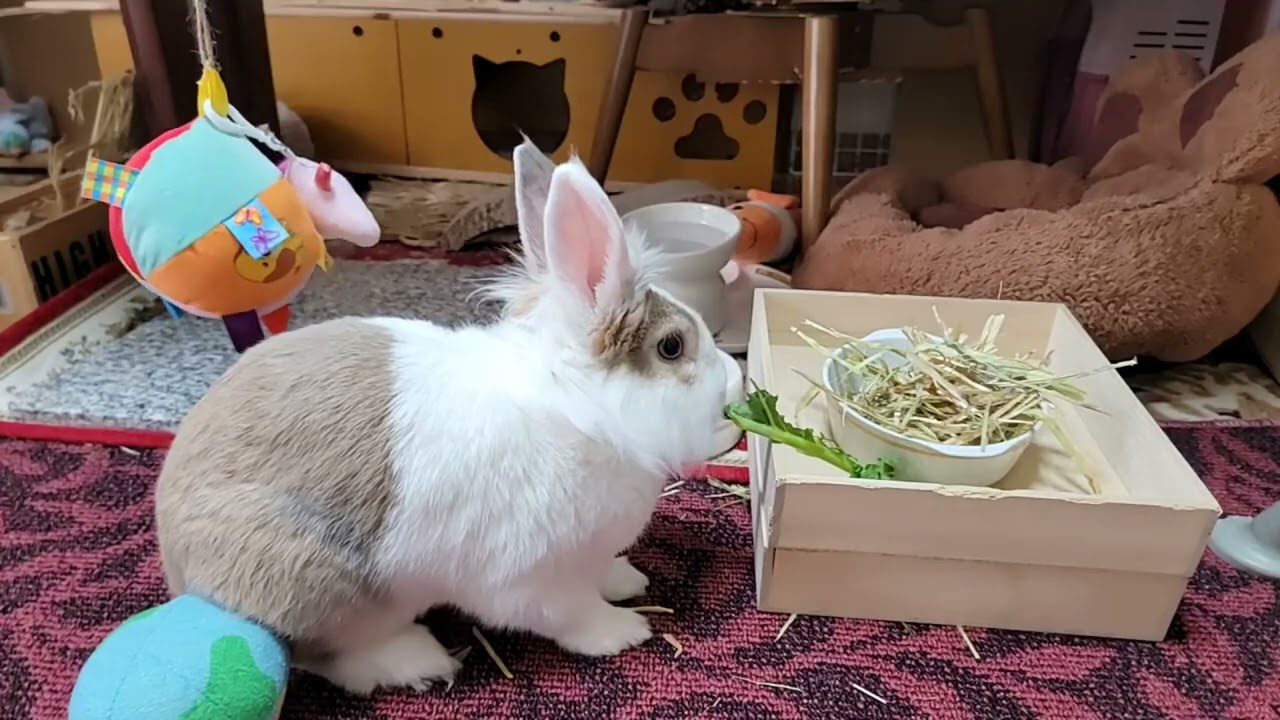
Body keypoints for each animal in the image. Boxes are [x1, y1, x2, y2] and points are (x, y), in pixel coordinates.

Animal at [154, 139, 732, 695]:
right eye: (673, 346)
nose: (732, 382)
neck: (578, 407)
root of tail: (179, 567)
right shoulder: (532, 578)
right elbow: (571, 615)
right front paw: (624, 630)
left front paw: (626, 579)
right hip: (329, 587)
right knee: (324, 655)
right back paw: (418, 660)